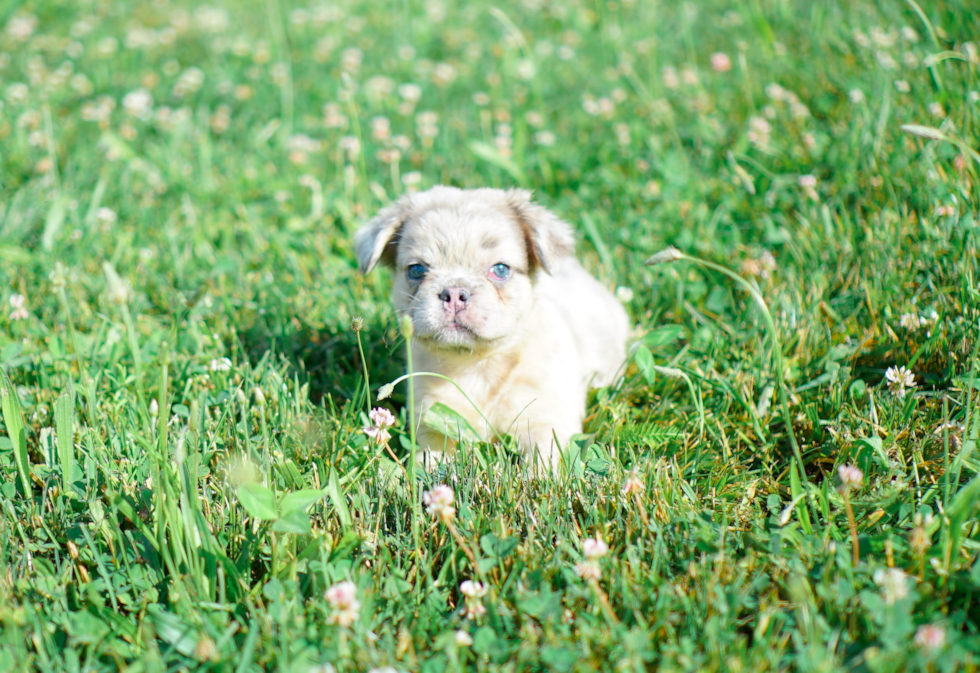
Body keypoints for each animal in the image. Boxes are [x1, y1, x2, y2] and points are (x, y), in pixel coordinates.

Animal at [356, 185, 632, 472]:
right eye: (417, 270)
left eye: (500, 270)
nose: (454, 293)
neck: (475, 366)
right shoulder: (435, 423)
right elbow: (431, 458)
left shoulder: (546, 420)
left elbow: (544, 458)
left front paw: (538, 479)